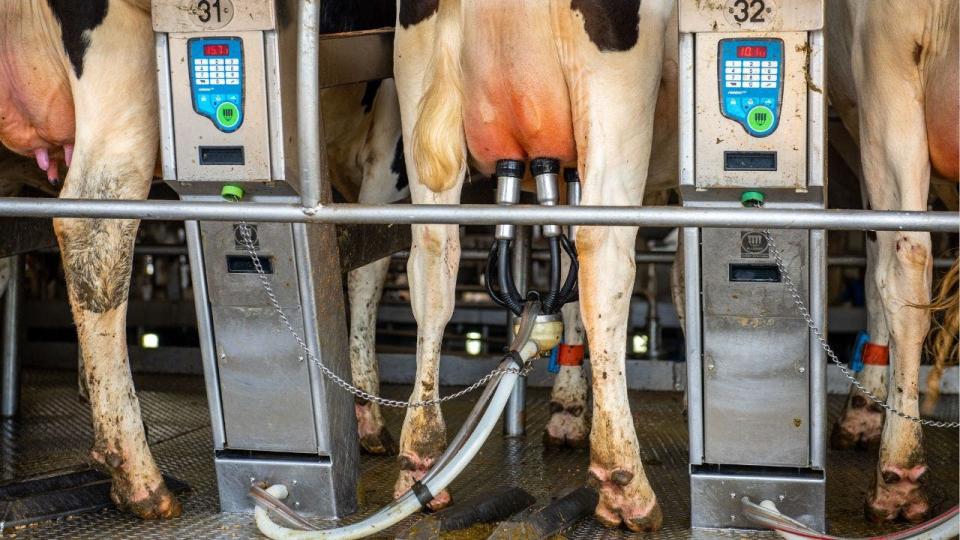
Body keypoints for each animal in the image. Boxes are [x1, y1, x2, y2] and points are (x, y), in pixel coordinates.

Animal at [390, 0, 676, 528]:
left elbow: (566, 287)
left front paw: (567, 408)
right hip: (617, 96)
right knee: (603, 255)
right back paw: (624, 482)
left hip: (416, 81)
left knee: (435, 256)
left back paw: (422, 459)